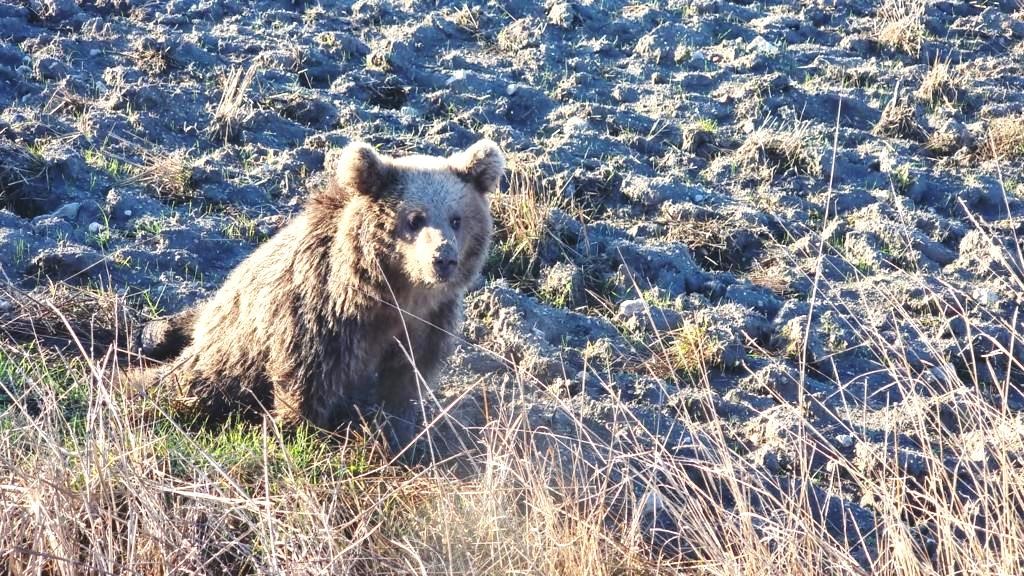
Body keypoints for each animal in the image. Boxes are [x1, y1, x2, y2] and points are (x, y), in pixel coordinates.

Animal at [141, 139, 507, 444]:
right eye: (415, 219)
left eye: (456, 219)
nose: (443, 259)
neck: (398, 294)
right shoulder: (324, 314)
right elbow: (308, 379)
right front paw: (293, 431)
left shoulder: (427, 325)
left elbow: (404, 385)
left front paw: (398, 436)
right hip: (231, 352)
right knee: (190, 382)